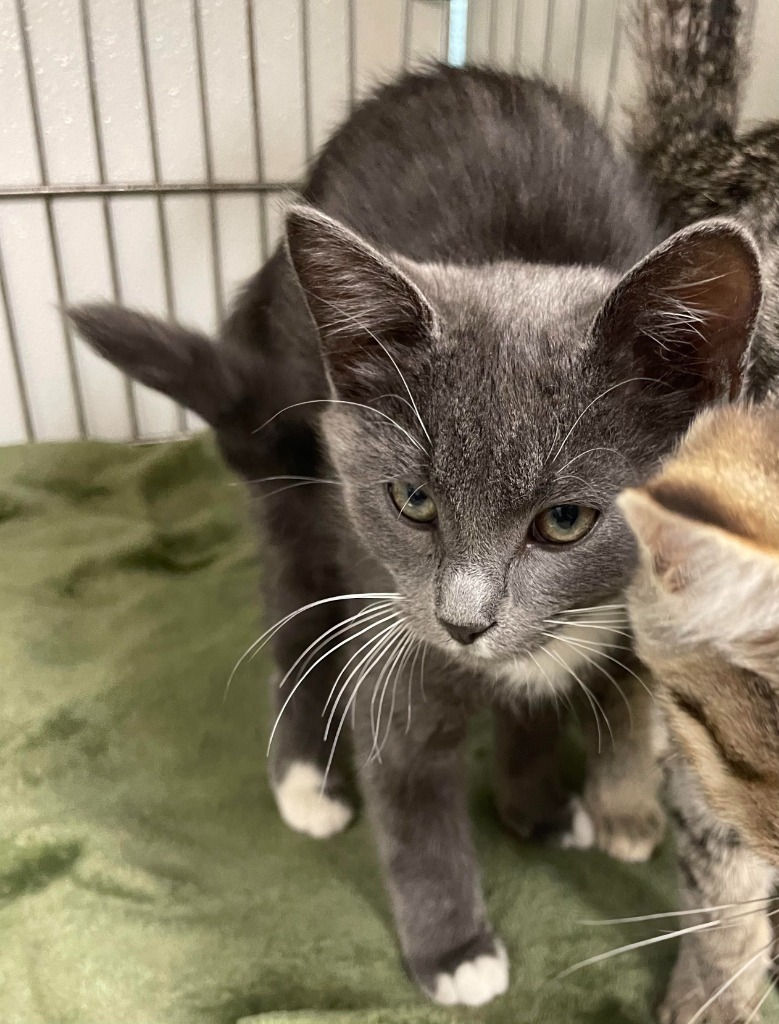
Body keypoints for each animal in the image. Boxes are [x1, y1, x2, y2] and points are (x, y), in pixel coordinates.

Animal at [65, 66, 761, 1007]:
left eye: (565, 519)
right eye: (414, 500)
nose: (464, 621)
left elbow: (556, 713)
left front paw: (538, 806)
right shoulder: (391, 622)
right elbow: (409, 787)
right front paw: (453, 948)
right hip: (299, 491)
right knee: (293, 619)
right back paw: (304, 775)